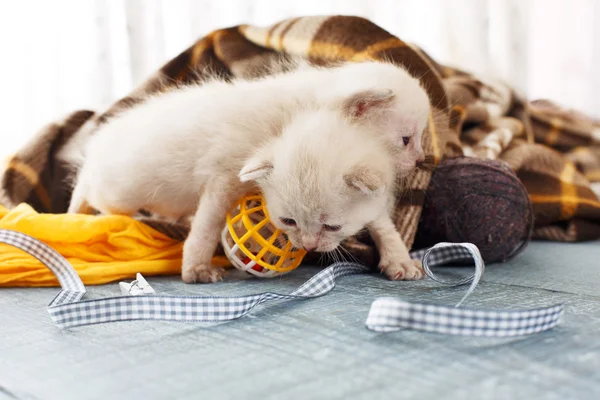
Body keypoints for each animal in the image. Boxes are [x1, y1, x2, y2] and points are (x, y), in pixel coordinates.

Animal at [68, 61, 428, 282]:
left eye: (419, 137)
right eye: (407, 139)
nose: (422, 160)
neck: (305, 111)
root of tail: (96, 150)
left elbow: (379, 222)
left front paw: (398, 259)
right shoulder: (225, 175)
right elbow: (208, 225)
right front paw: (197, 268)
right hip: (117, 193)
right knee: (93, 194)